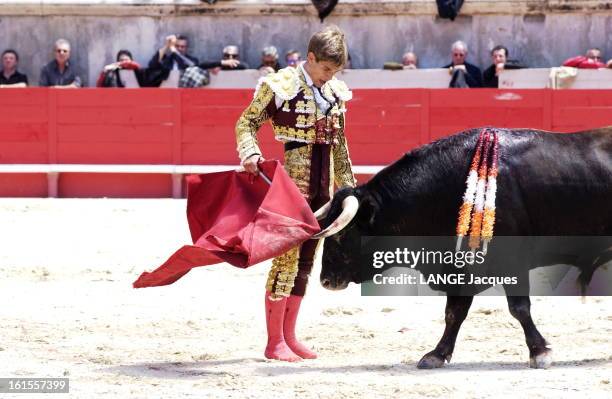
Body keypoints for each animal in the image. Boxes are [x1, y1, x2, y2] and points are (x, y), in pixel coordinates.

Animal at [318, 126, 608, 370]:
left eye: (342, 234)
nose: (325, 281)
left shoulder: (511, 262)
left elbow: (518, 307)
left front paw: (540, 353)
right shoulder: (459, 268)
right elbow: (454, 312)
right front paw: (436, 354)